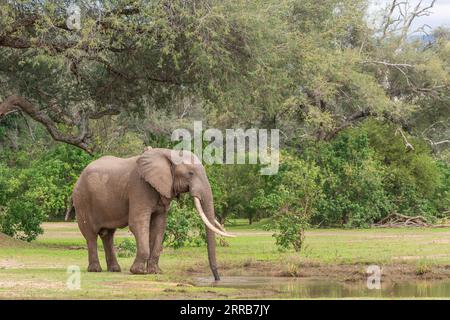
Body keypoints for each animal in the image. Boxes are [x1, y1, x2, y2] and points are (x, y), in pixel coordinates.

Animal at [67, 148, 236, 280]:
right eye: (190, 173)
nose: (217, 278)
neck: (168, 153)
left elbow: (159, 226)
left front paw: (155, 272)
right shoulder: (139, 187)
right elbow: (138, 223)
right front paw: (138, 272)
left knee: (107, 234)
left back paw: (114, 270)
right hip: (82, 200)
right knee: (91, 235)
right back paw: (95, 270)